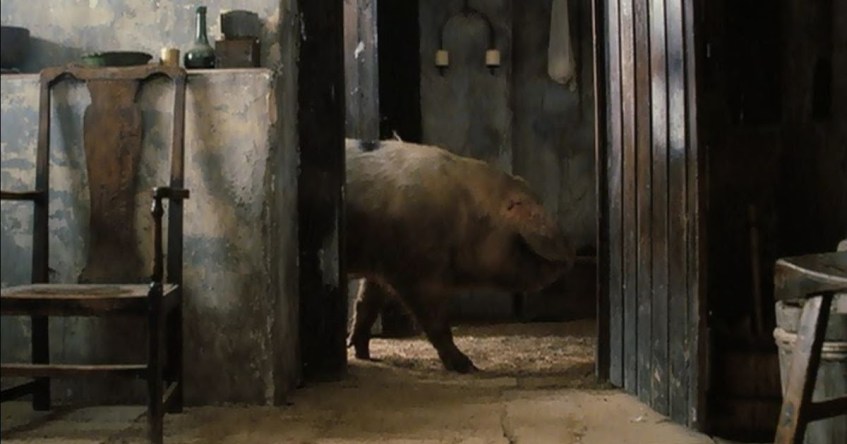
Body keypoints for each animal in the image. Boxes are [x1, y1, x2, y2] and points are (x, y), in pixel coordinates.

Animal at [345, 138, 575, 373]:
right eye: (522, 241)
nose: (569, 256)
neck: (465, 217)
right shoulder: (415, 271)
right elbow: (435, 321)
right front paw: (468, 367)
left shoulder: (380, 266)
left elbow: (366, 303)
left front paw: (363, 354)